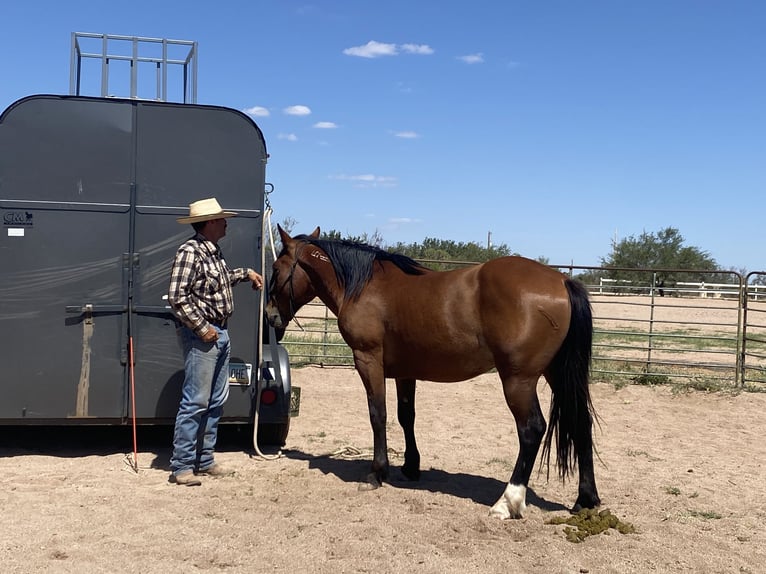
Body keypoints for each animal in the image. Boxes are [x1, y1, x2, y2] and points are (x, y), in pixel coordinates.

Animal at [268, 227, 604, 520]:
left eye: (275, 268)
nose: (270, 318)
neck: (363, 286)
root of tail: (562, 281)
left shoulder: (368, 360)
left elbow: (378, 414)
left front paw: (377, 472)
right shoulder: (405, 372)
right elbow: (406, 417)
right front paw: (410, 467)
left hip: (518, 380)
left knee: (532, 429)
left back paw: (508, 502)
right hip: (556, 373)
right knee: (581, 423)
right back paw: (586, 499)